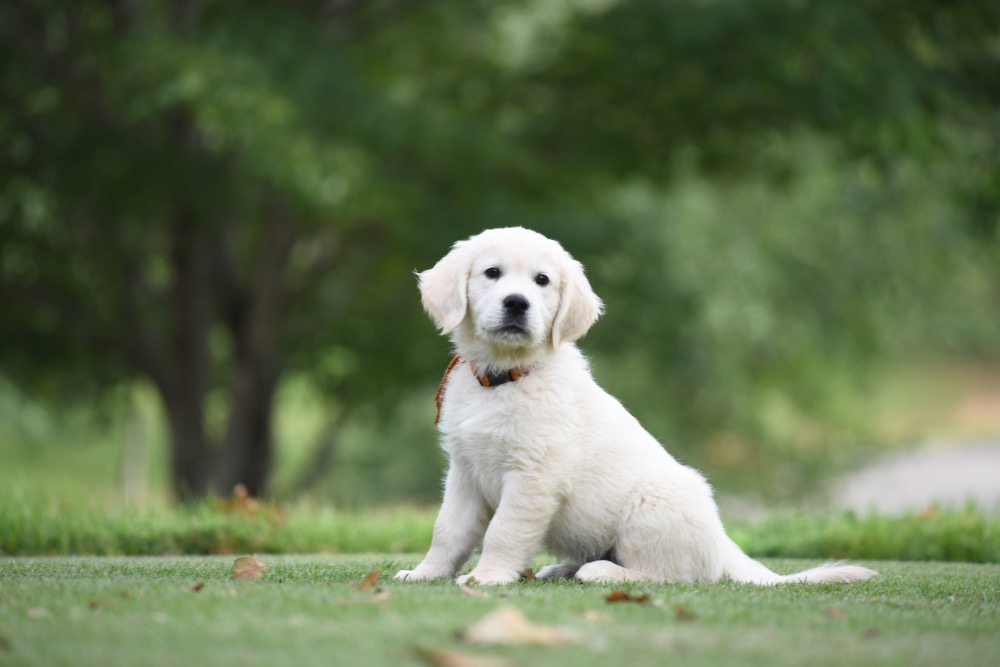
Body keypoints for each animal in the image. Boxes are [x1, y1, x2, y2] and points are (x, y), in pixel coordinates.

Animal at [394, 228, 880, 584]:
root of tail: (723, 543)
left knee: (669, 576)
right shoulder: (465, 471)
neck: (505, 376)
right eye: (491, 273)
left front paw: (487, 578)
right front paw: (424, 573)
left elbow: (503, 532)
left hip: (648, 511)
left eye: (542, 281)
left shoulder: (533, 476)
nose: (517, 303)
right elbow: (448, 530)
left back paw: (602, 572)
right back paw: (561, 568)